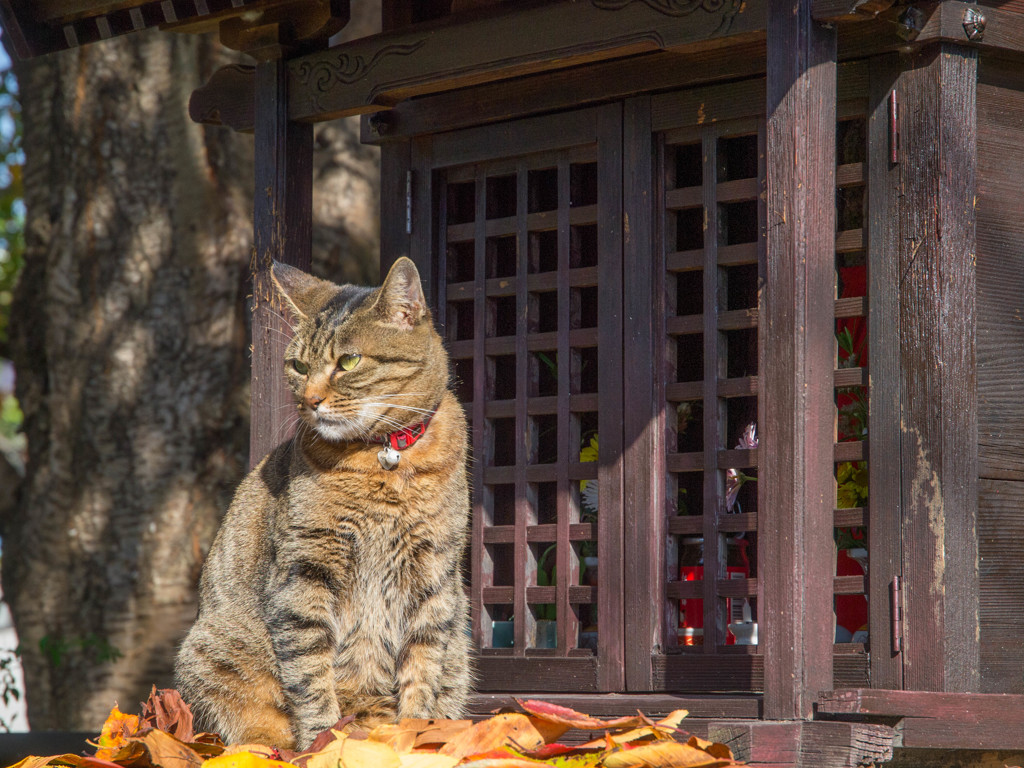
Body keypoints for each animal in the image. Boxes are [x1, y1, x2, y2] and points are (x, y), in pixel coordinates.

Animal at [178, 259, 473, 753]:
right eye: (298, 365)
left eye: (348, 361)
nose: (309, 401)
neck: (383, 457)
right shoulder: (304, 571)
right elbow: (310, 672)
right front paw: (324, 743)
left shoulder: (433, 573)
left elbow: (423, 666)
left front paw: (416, 738)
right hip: (211, 651)